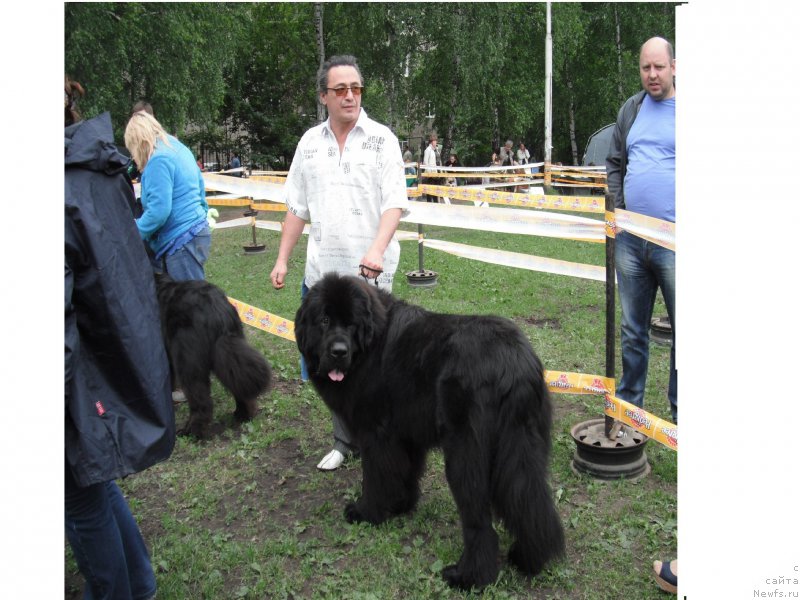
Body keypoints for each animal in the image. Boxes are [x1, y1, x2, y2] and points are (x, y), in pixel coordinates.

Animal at [155, 274, 274, 438]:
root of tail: (217, 309)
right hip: (228, 354)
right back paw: (242, 415)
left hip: (188, 361)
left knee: (201, 401)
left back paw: (192, 432)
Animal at [294, 274, 564, 592]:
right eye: (324, 320)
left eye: (350, 324)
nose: (338, 352)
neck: (370, 345)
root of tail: (514, 363)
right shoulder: (406, 433)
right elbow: (405, 472)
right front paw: (400, 505)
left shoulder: (377, 434)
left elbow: (375, 477)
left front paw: (367, 513)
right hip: (524, 446)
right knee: (530, 501)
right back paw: (528, 557)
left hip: (465, 455)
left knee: (479, 522)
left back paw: (469, 577)